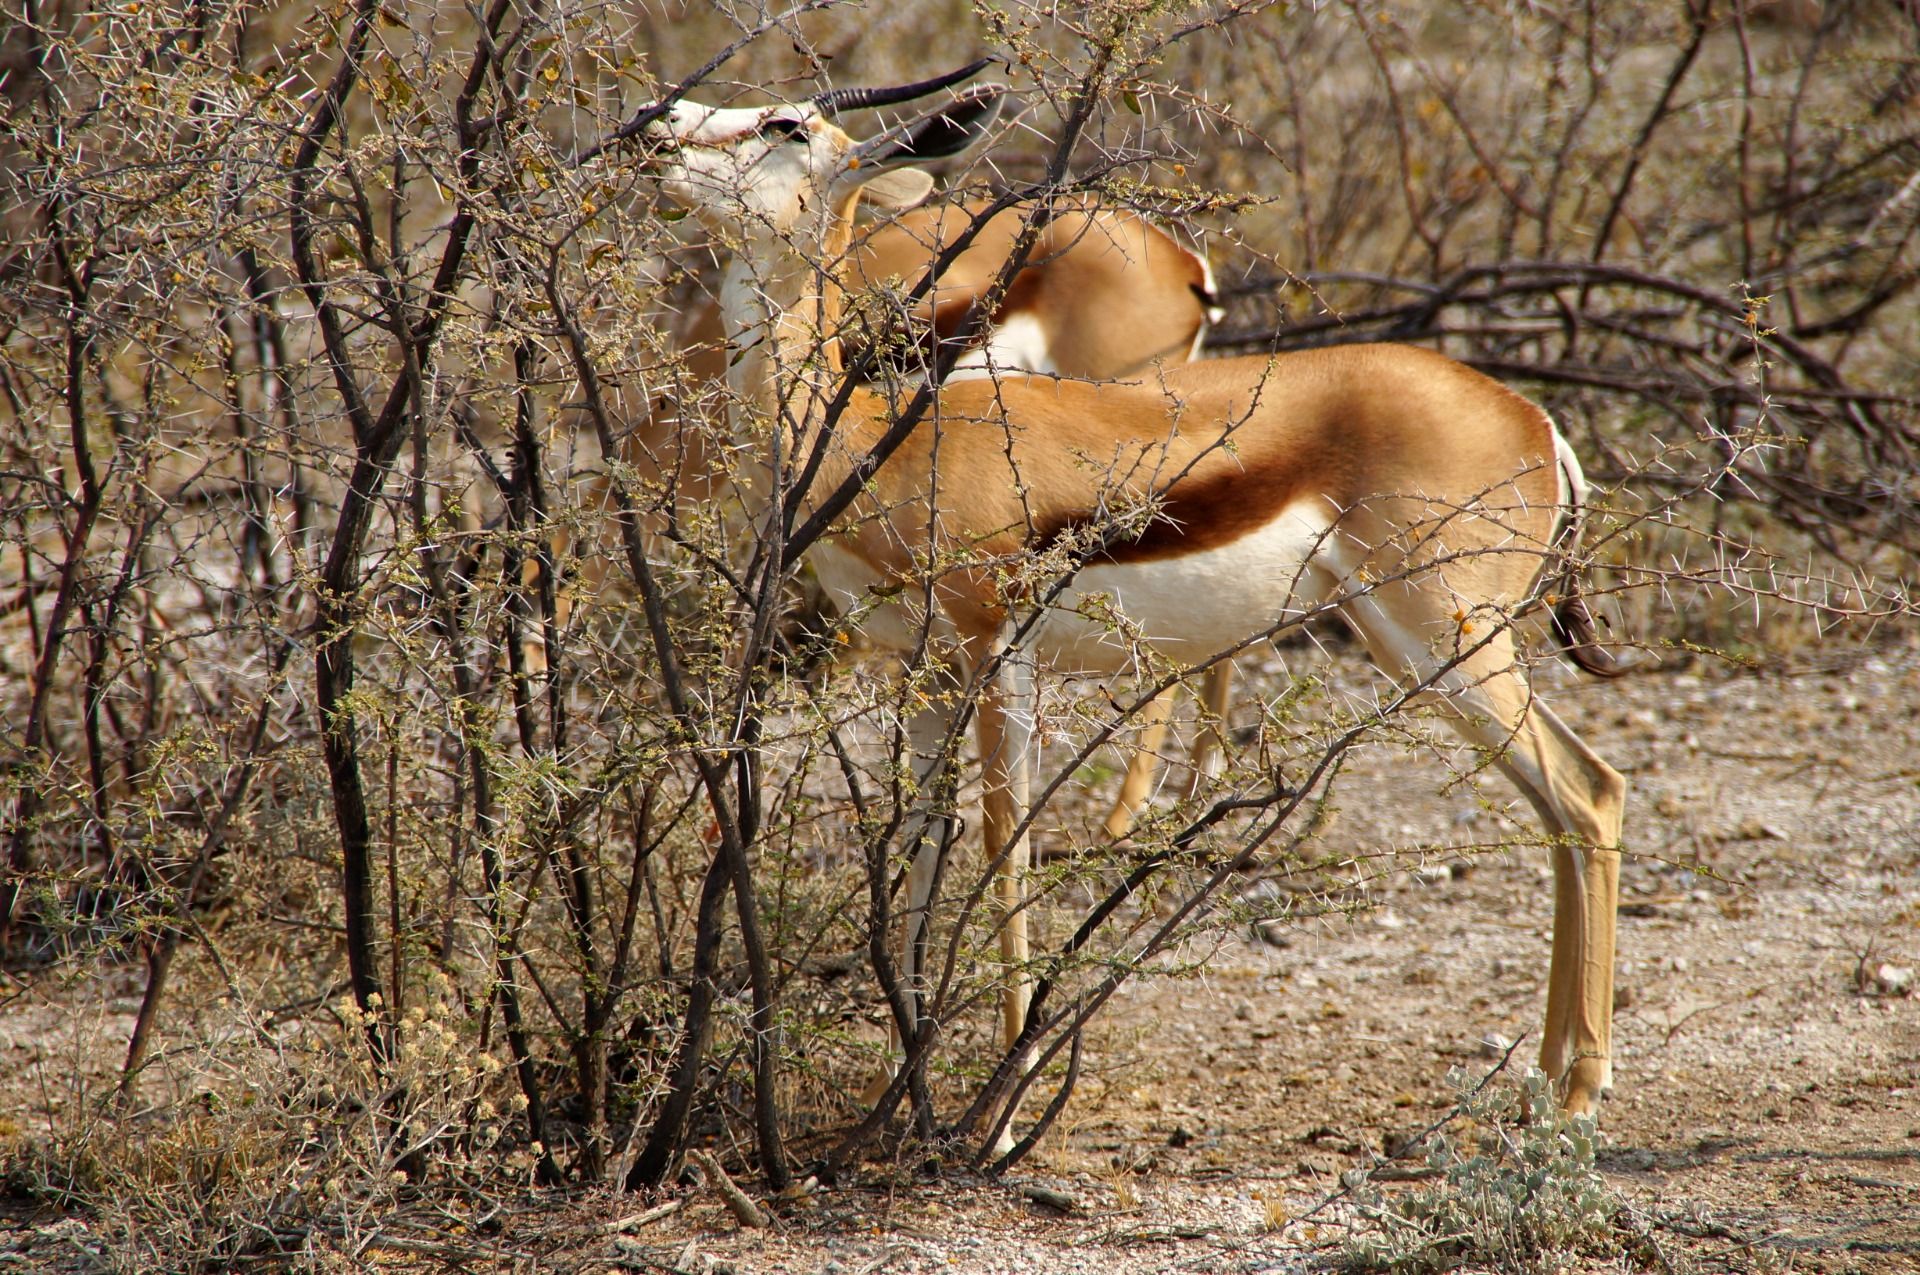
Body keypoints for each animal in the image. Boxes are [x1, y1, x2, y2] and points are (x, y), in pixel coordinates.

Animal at [603, 63, 1628, 1155]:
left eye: (786, 125)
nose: (650, 124)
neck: (874, 445)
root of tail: (1536, 422)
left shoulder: (998, 654)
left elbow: (1002, 848)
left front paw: (1000, 1112)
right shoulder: (923, 673)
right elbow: (918, 853)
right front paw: (905, 1098)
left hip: (1447, 639)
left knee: (1589, 794)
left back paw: (1576, 1095)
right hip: (1413, 647)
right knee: (1565, 807)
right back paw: (1544, 1084)